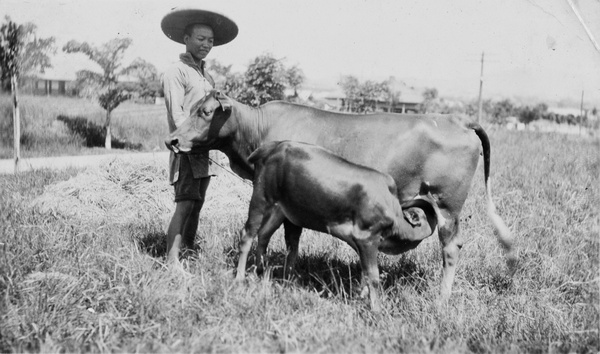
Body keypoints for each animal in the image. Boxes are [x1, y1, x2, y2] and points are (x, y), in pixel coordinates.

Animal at [237, 140, 442, 312]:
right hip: (261, 199)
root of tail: (272, 146)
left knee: (264, 235)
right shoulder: (367, 238)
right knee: (247, 236)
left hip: (281, 210)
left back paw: (260, 271)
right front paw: (376, 310)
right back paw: (240, 277)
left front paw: (361, 297)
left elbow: (365, 273)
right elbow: (373, 276)